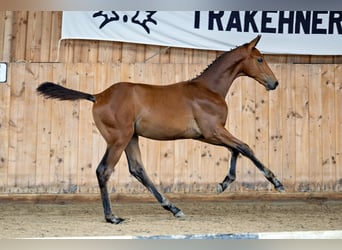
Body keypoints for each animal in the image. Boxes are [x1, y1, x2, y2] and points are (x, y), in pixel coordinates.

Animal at [36, 35, 284, 225]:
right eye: (260, 59)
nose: (274, 83)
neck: (208, 89)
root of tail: (98, 96)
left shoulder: (207, 134)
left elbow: (236, 149)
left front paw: (223, 183)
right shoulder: (213, 130)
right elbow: (245, 147)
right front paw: (276, 182)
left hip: (131, 138)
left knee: (138, 170)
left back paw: (172, 207)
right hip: (119, 139)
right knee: (104, 171)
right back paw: (112, 217)